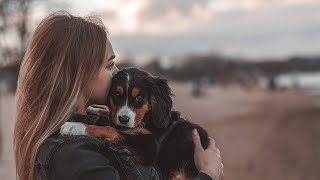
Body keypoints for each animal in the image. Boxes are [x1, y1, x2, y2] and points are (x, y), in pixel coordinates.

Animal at [60, 67, 210, 179]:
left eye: (139, 98)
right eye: (117, 94)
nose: (124, 119)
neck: (146, 120)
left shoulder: (148, 147)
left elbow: (111, 129)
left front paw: (75, 127)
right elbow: (111, 121)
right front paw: (93, 110)